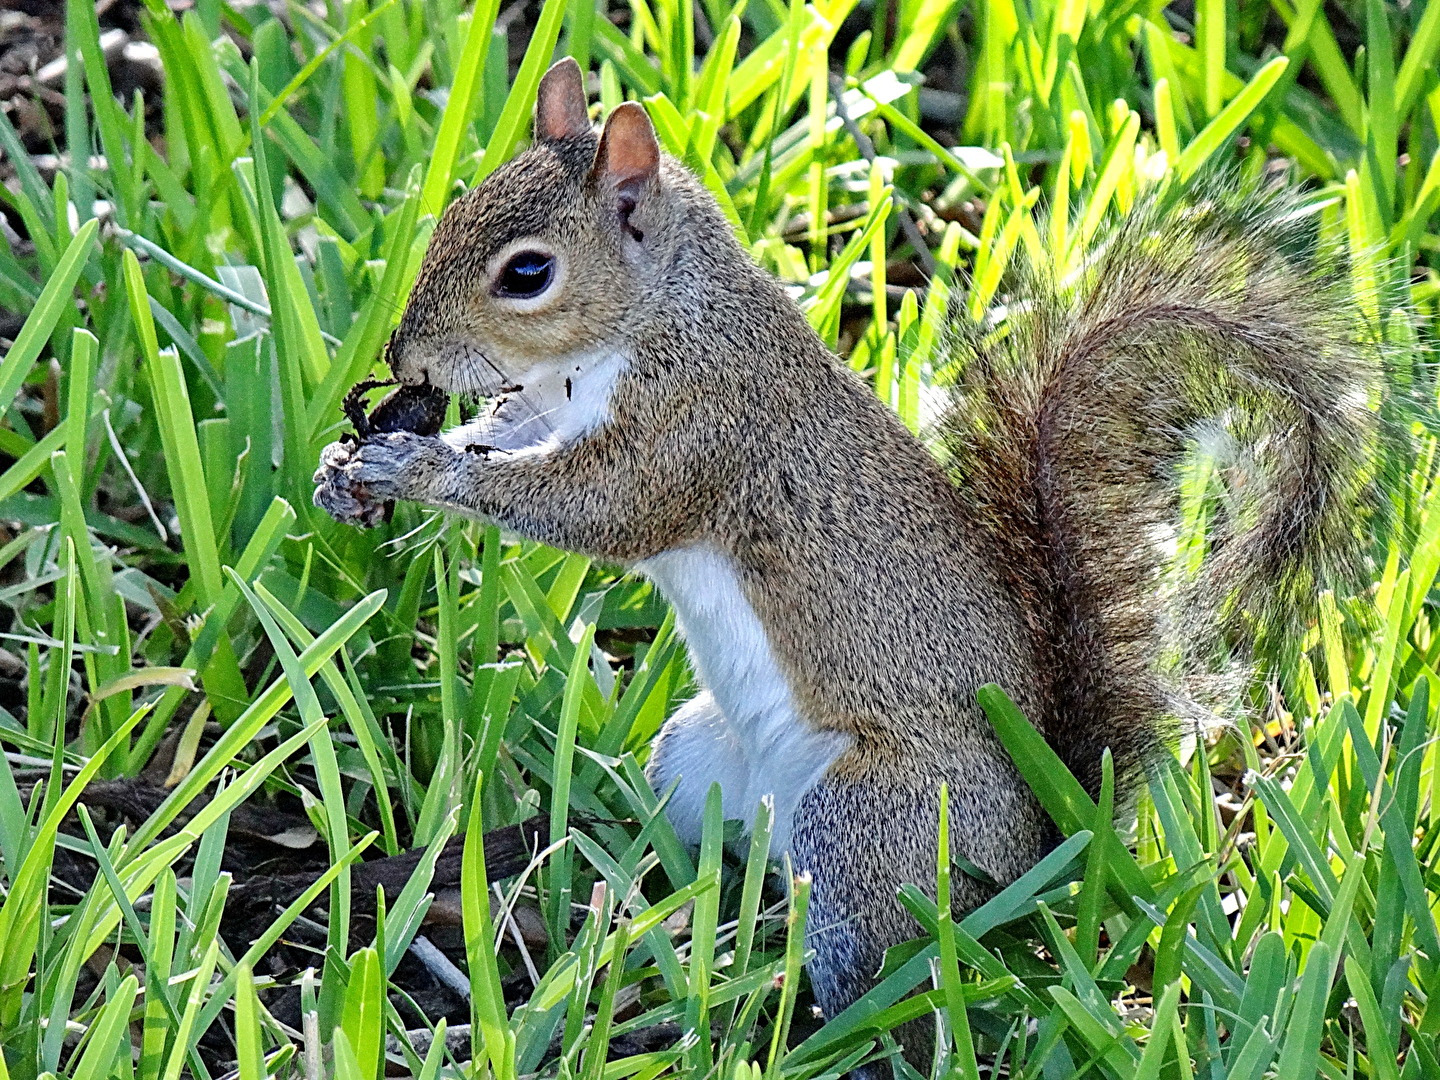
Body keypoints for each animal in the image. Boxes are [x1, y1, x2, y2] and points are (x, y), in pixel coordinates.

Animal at [314, 58, 1399, 1045]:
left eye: (527, 274)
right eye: (456, 210)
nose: (403, 359)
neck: (659, 317)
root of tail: (1044, 846)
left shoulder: (695, 430)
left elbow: (595, 510)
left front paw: (414, 467)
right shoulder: (550, 407)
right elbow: (506, 432)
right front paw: (349, 469)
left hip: (873, 823)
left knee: (883, 978)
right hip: (694, 765)